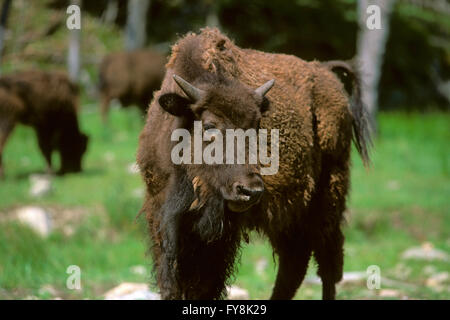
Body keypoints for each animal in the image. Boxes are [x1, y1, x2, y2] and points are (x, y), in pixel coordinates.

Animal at [138, 28, 372, 302]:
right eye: (209, 126)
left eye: (257, 125)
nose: (250, 190)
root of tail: (325, 71)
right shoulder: (161, 216)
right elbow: (171, 282)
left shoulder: (220, 235)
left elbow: (206, 286)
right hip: (291, 212)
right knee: (295, 262)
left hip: (329, 194)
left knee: (327, 264)